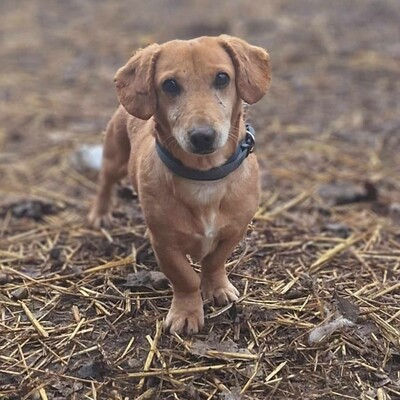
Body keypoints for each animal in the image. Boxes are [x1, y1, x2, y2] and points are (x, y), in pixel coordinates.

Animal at [90, 35, 272, 334]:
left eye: (222, 78)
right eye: (170, 85)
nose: (202, 136)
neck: (204, 177)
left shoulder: (235, 231)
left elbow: (214, 261)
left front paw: (217, 288)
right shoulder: (165, 244)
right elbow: (185, 278)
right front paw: (186, 313)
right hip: (114, 158)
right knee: (105, 183)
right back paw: (100, 214)